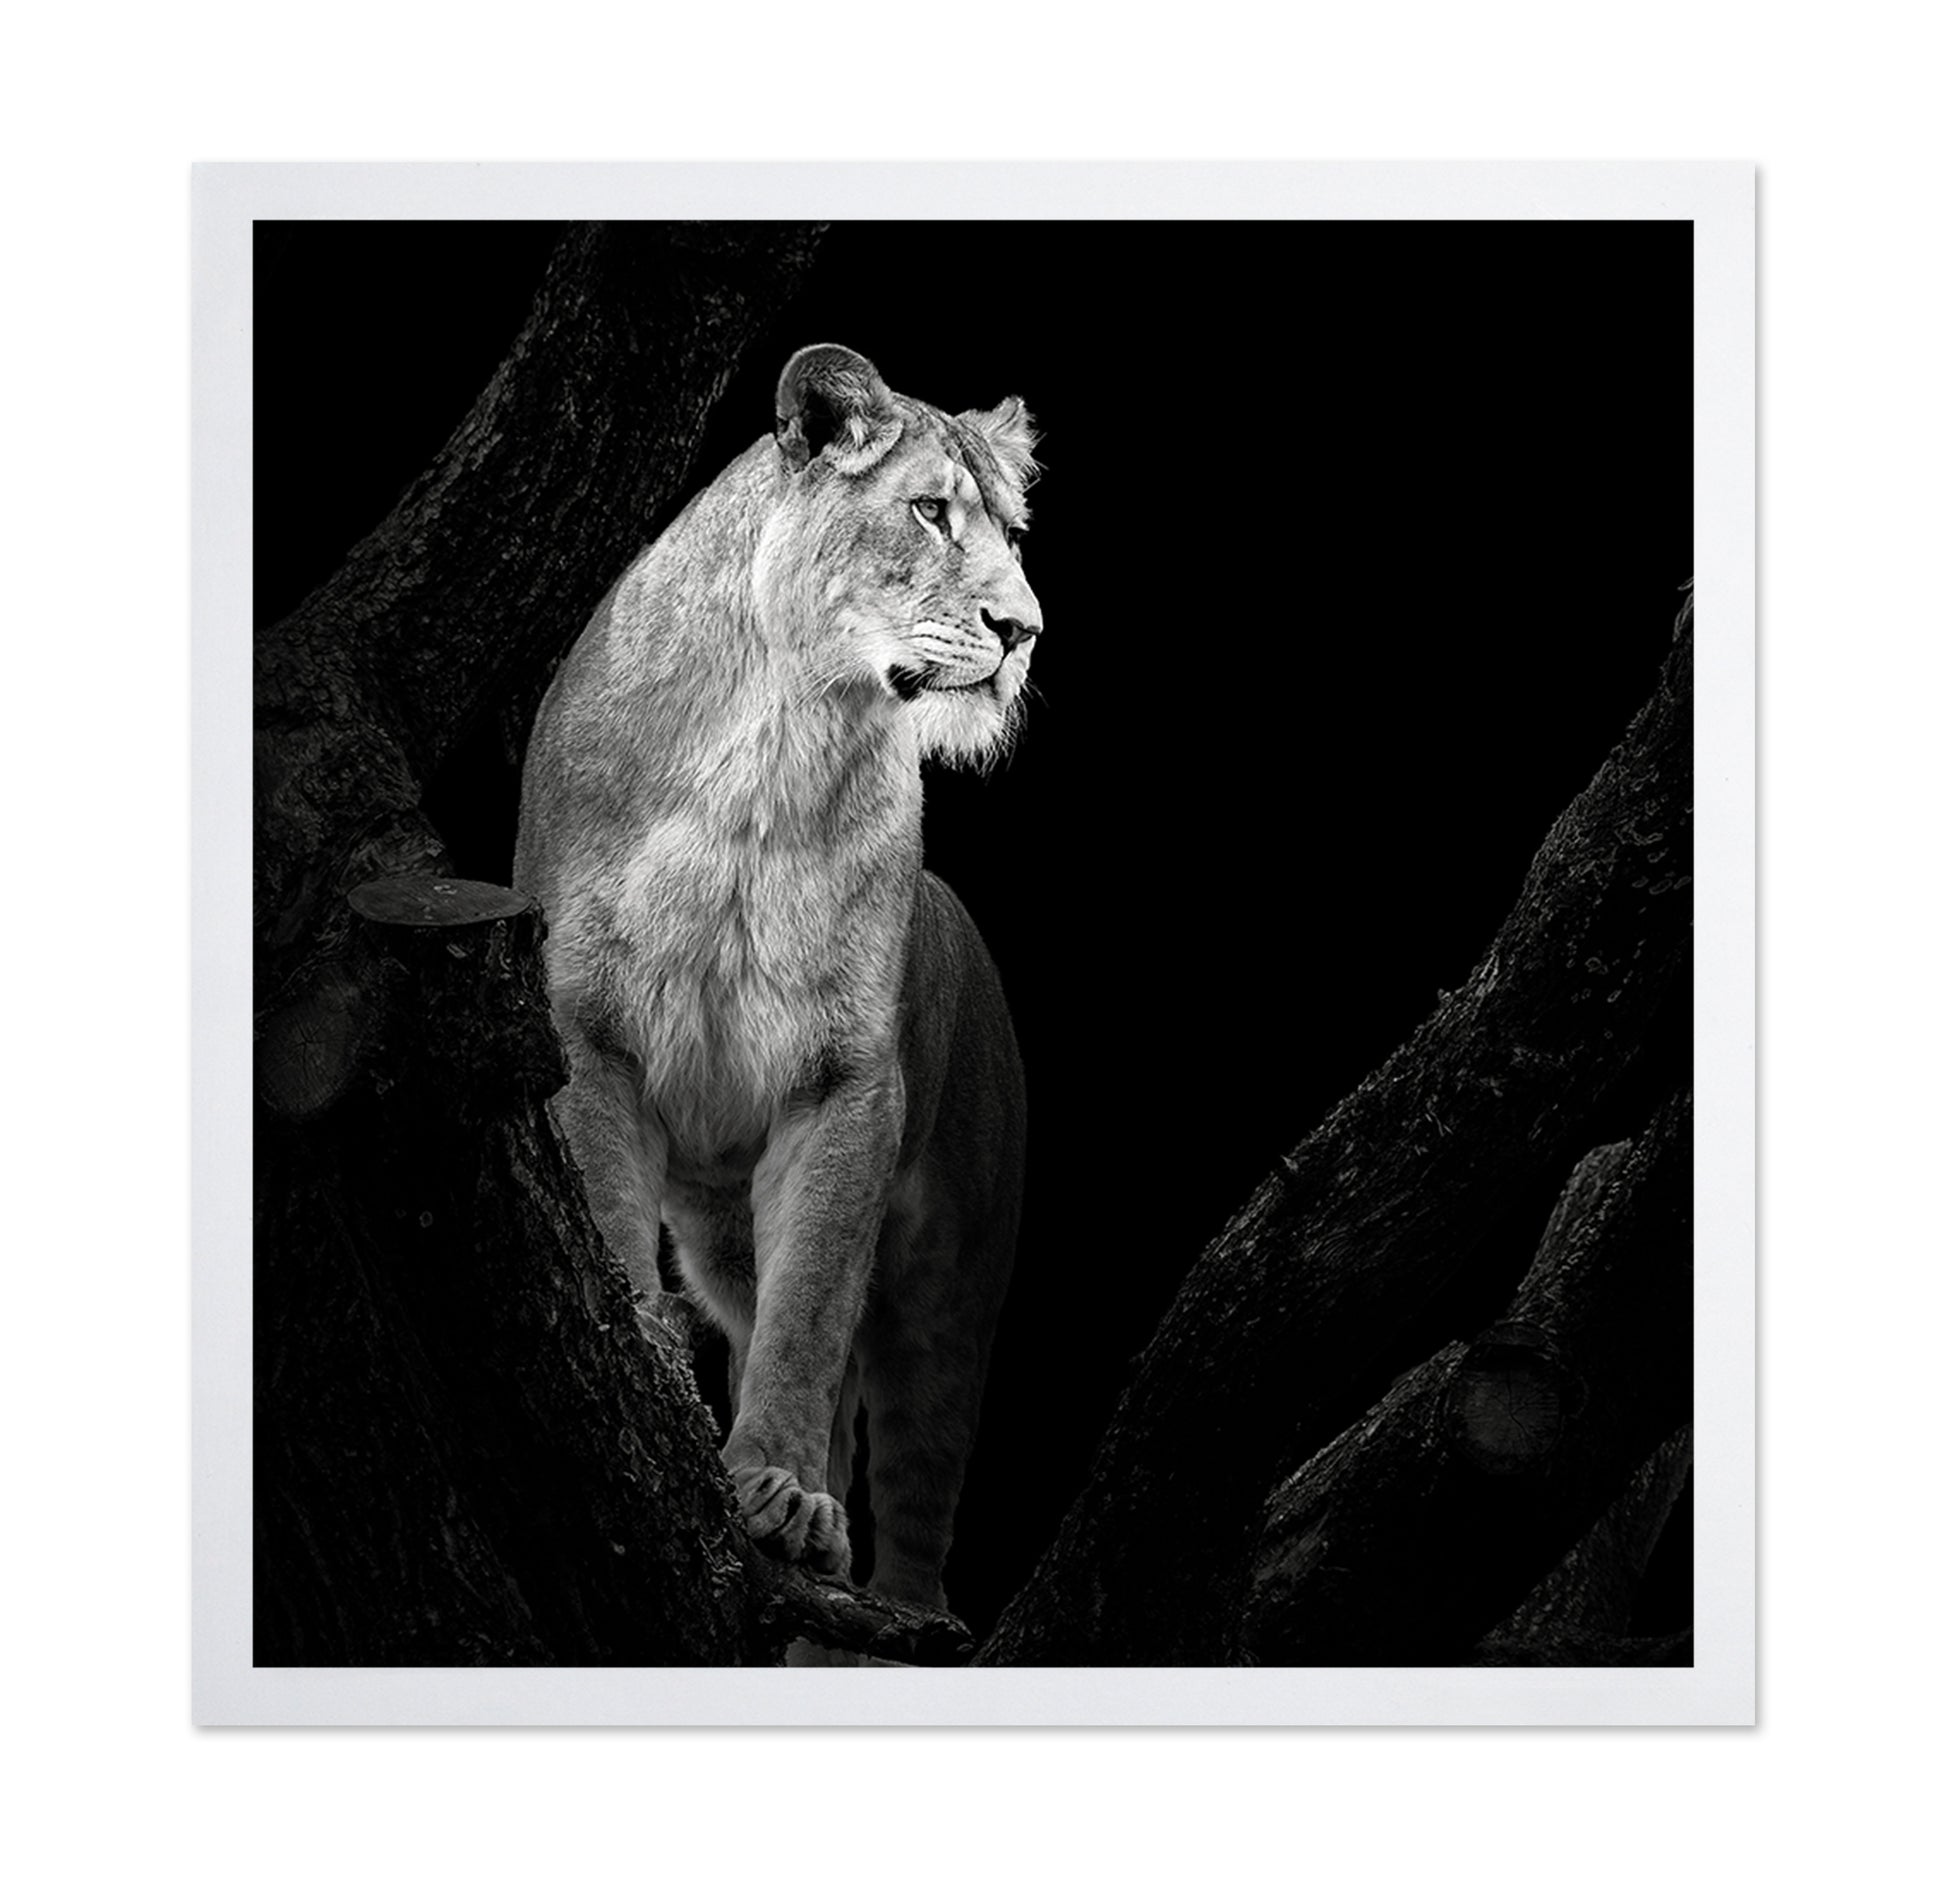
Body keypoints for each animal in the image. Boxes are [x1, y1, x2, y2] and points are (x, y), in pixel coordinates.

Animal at [513, 343, 1041, 1618]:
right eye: (928, 510)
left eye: (1010, 529)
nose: (1024, 630)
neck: (778, 739)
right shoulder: (585, 1029)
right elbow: (611, 1223)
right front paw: (648, 1370)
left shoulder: (844, 1085)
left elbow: (809, 1317)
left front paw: (786, 1497)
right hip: (720, 1236)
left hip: (958, 1279)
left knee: (914, 1476)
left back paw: (896, 1611)